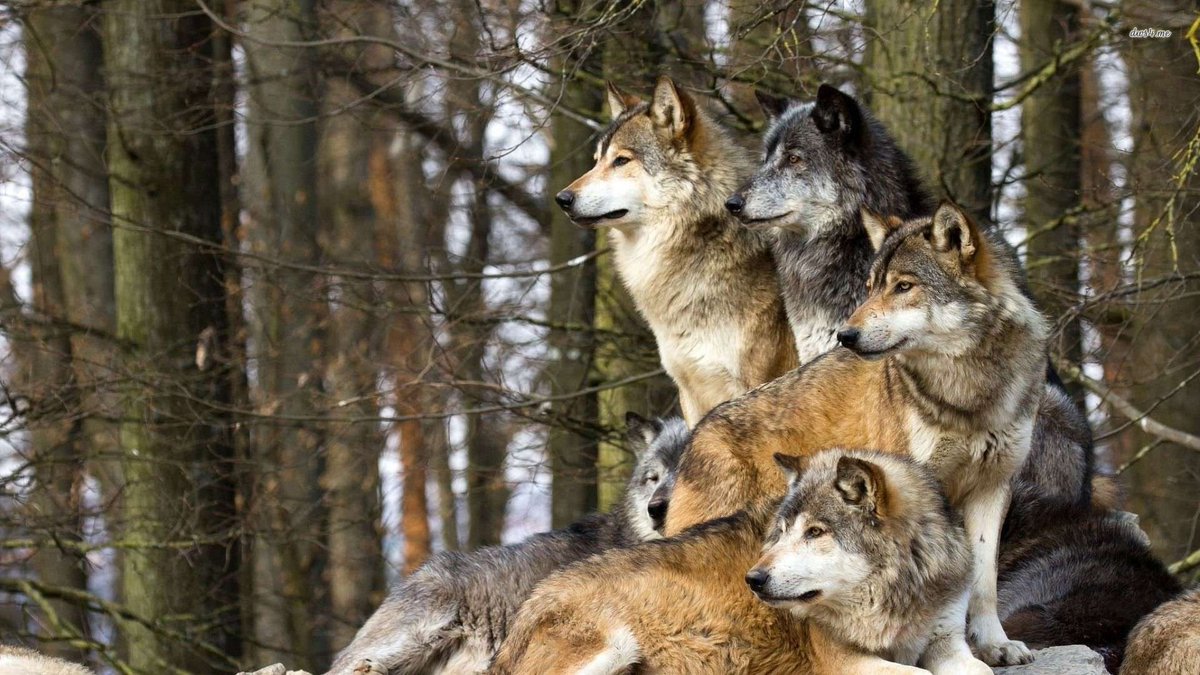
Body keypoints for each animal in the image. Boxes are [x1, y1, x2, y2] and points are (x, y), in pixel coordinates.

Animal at [490, 449, 971, 675]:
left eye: (815, 533)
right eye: (781, 531)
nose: (753, 579)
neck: (895, 597)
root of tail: (526, 610)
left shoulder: (947, 640)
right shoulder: (843, 662)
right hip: (615, 643)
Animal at [662, 204, 1047, 667]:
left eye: (903, 287)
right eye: (870, 288)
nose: (845, 335)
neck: (967, 394)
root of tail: (697, 432)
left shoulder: (993, 487)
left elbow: (984, 581)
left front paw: (995, 645)